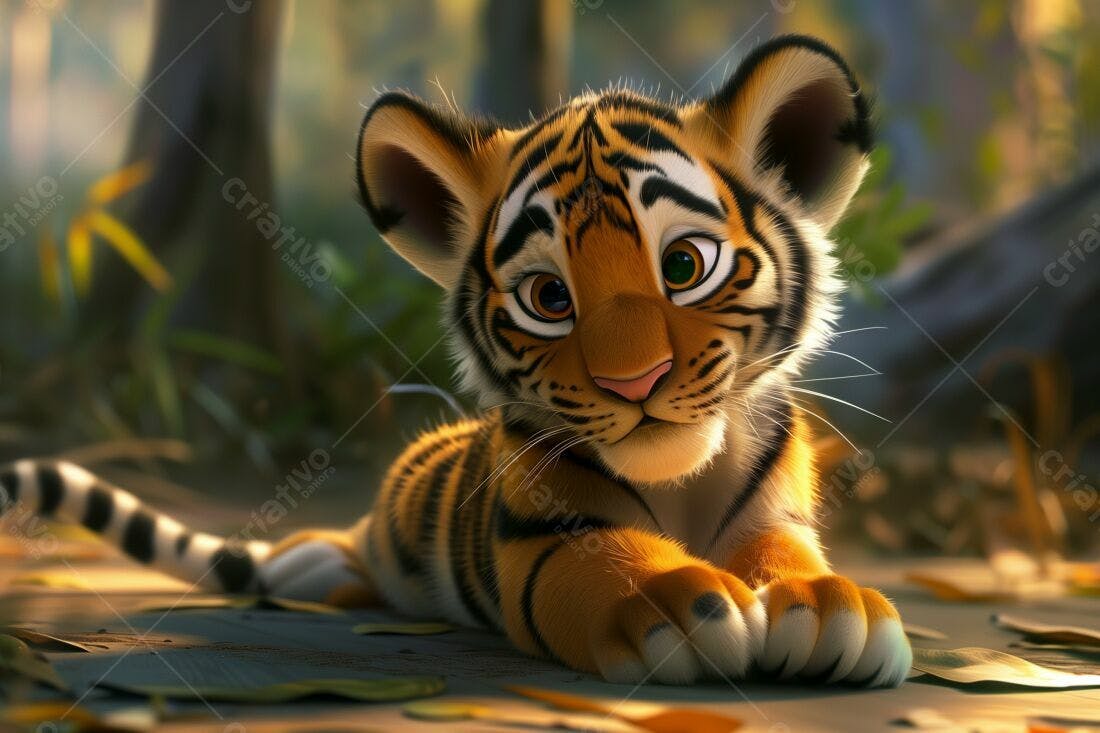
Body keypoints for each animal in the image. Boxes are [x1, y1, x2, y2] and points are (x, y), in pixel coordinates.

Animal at [1, 35, 911, 687]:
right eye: (549, 296)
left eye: (684, 265)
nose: (634, 382)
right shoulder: (546, 536)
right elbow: (610, 564)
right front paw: (682, 603)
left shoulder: (775, 516)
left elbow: (788, 557)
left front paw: (829, 606)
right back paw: (315, 563)